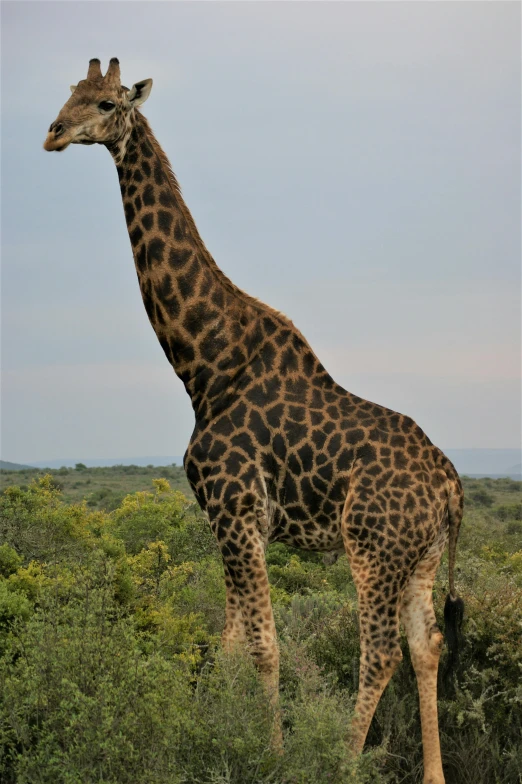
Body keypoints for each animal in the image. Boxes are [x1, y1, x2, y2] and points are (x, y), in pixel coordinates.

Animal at [42, 58, 462, 780]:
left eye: (104, 103)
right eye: (68, 94)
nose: (53, 133)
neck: (204, 363)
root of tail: (453, 487)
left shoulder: (235, 510)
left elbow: (264, 644)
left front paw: (271, 752)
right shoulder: (233, 521)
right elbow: (232, 642)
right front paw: (206, 735)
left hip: (373, 550)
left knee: (379, 650)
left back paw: (342, 762)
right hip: (421, 557)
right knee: (425, 644)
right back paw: (432, 773)